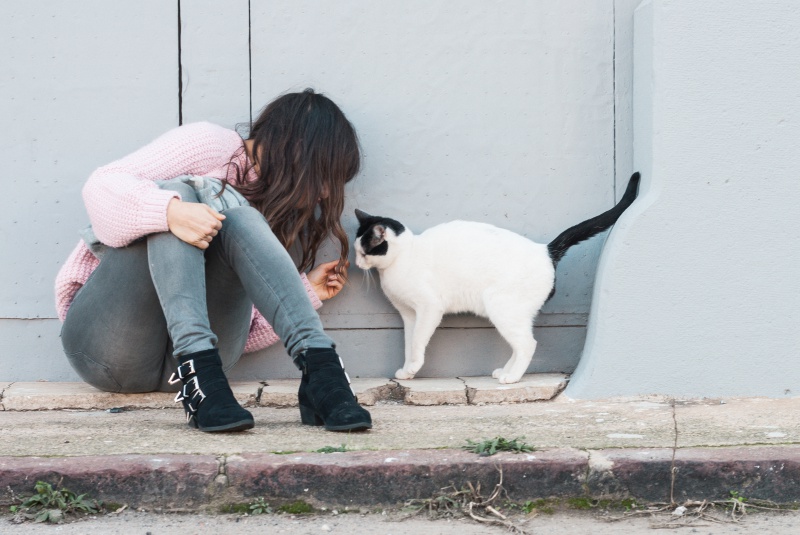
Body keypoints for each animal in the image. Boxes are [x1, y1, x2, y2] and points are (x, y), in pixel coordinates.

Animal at [354, 174, 640, 384]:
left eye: (363, 251)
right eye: (356, 249)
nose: (356, 263)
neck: (404, 256)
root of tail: (545, 250)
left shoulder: (428, 308)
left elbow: (416, 341)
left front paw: (413, 368)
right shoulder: (409, 314)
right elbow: (409, 342)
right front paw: (407, 370)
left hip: (501, 307)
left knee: (528, 344)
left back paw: (512, 378)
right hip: (513, 314)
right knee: (520, 344)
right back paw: (505, 371)